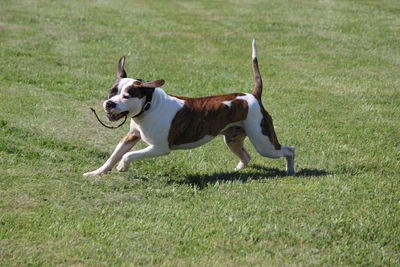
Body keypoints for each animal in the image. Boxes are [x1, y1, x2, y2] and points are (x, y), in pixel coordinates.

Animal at [83, 40, 296, 178]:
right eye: (112, 92)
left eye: (127, 95)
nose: (109, 104)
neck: (149, 106)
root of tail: (253, 96)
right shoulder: (131, 137)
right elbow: (115, 154)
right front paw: (97, 172)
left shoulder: (159, 147)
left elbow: (128, 155)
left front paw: (122, 167)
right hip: (233, 138)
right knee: (247, 154)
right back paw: (237, 169)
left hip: (264, 142)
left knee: (288, 150)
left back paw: (291, 170)